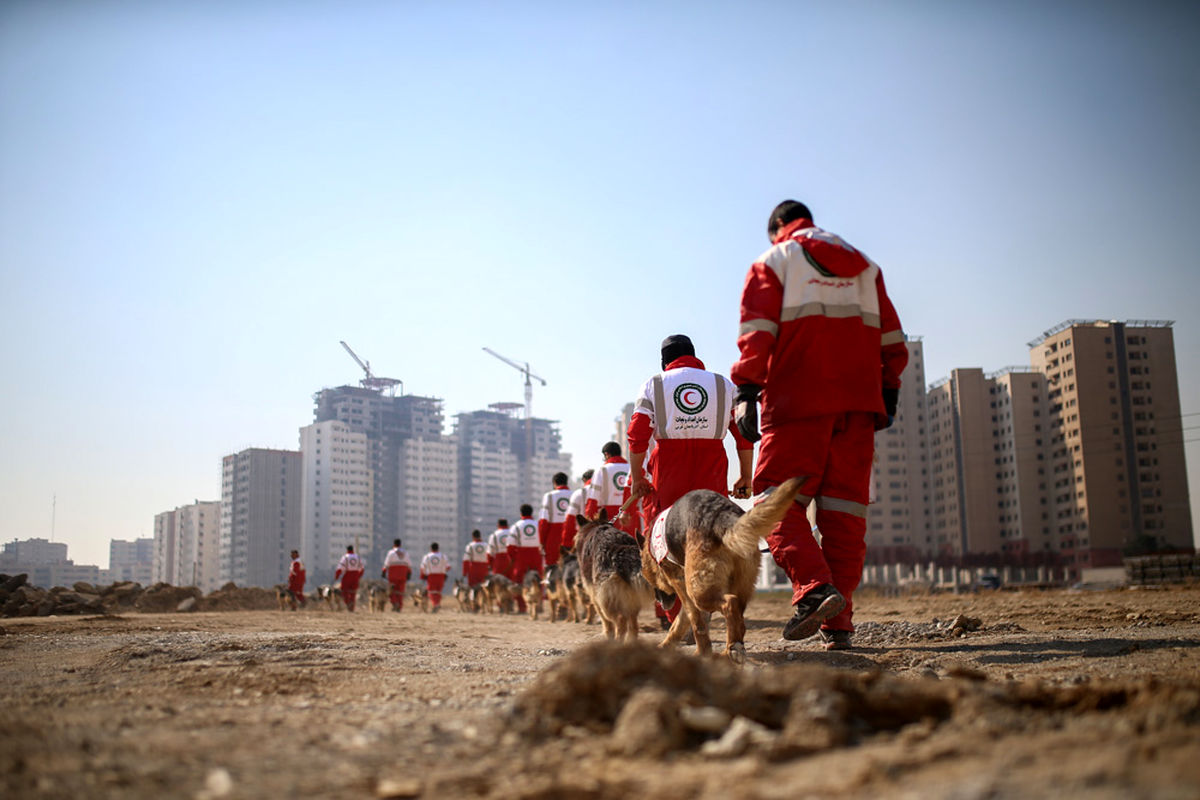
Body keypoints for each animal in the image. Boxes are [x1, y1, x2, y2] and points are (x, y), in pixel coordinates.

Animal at [573, 513, 657, 642]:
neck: (596, 525)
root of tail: (620, 548)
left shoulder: (595, 596)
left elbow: (605, 621)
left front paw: (608, 635)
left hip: (608, 599)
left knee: (620, 620)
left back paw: (617, 641)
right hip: (630, 598)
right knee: (633, 623)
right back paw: (631, 641)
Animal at [638, 474, 806, 662]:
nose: (659, 602)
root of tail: (722, 515)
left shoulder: (681, 584)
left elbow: (695, 622)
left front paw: (702, 652)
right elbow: (681, 622)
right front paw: (667, 645)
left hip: (699, 591)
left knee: (729, 603)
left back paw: (731, 649)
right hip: (738, 584)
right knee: (739, 618)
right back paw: (731, 648)